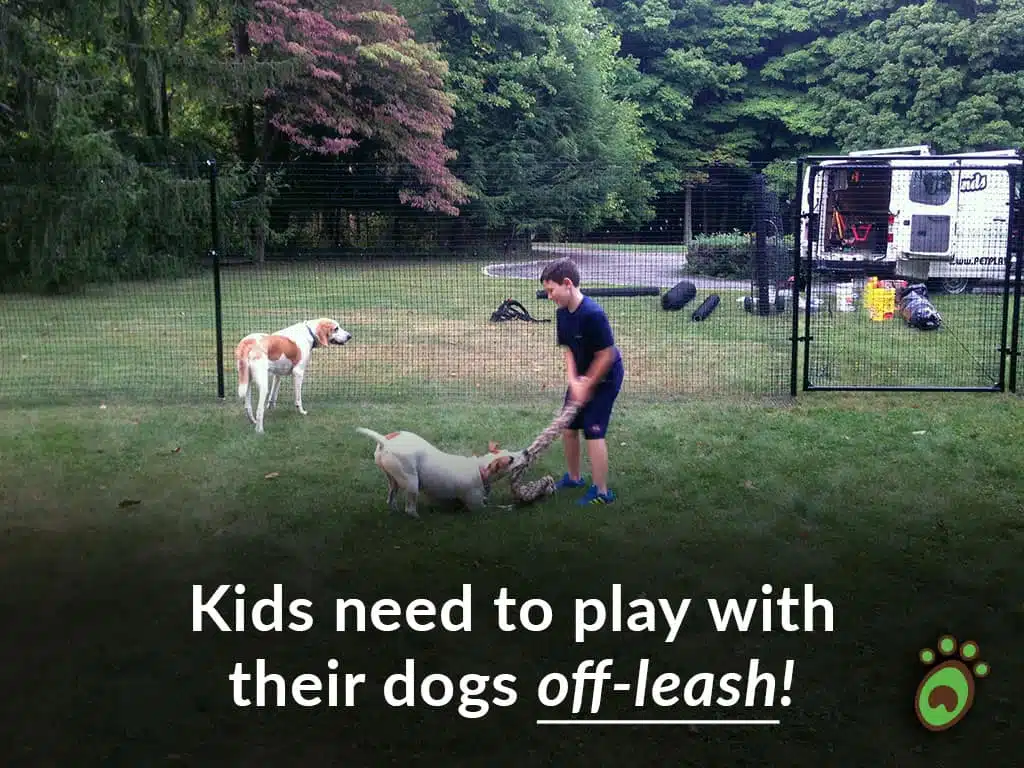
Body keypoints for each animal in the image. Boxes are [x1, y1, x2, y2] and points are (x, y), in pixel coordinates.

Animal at [354, 430, 528, 520]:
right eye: (510, 460)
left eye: (508, 451)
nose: (526, 451)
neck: (479, 468)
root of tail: (385, 441)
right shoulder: (477, 508)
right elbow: (496, 509)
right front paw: (511, 507)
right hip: (411, 482)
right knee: (409, 509)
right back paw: (417, 517)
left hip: (393, 480)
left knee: (391, 498)